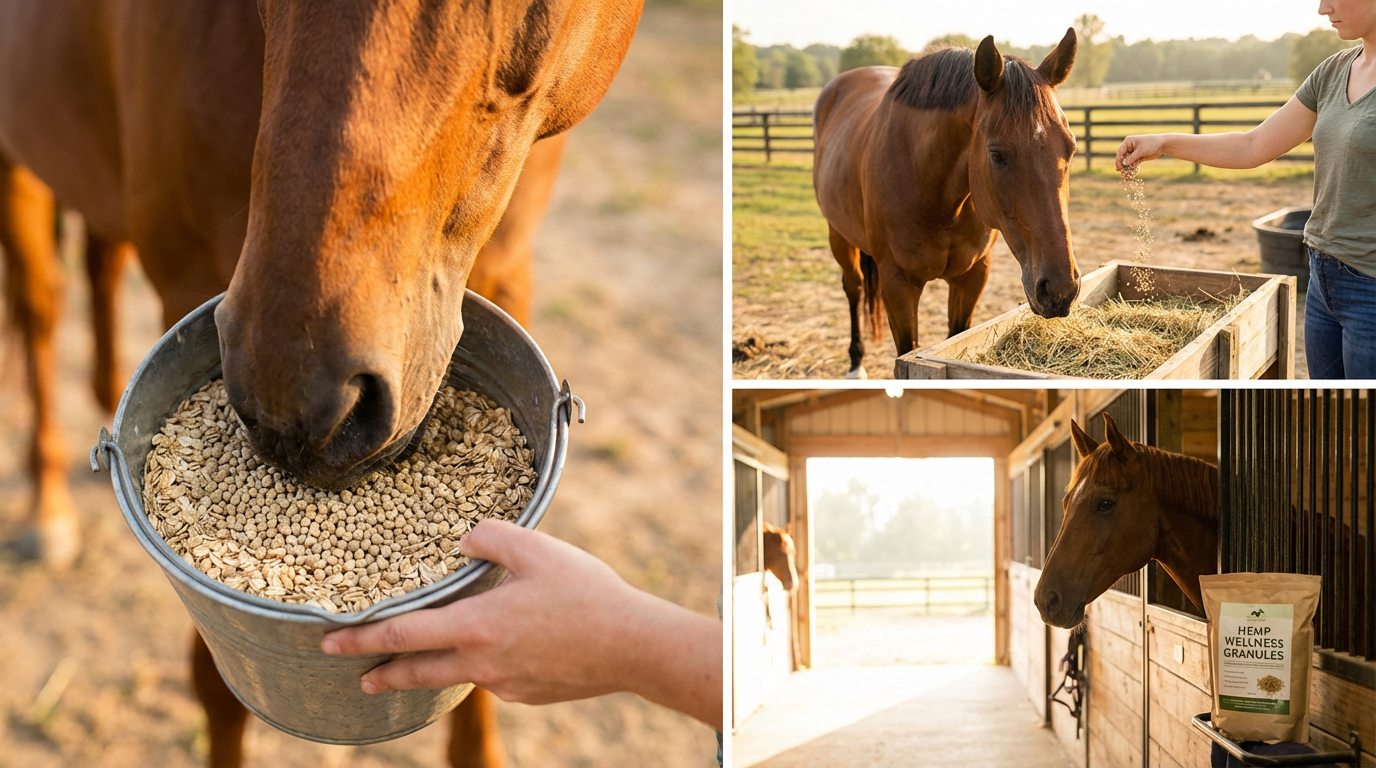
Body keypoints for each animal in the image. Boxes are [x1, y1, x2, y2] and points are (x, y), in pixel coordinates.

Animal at [0, 1, 642, 766]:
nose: (299, 411)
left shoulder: (510, 266)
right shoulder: (186, 280)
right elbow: (217, 688)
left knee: (98, 258)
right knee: (39, 306)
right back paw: (47, 510)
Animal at [812, 30, 1081, 378]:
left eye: (1071, 148)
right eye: (997, 155)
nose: (1060, 289)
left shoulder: (973, 275)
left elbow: (956, 334)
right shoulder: (897, 285)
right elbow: (907, 348)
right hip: (839, 236)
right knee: (853, 288)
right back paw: (856, 362)